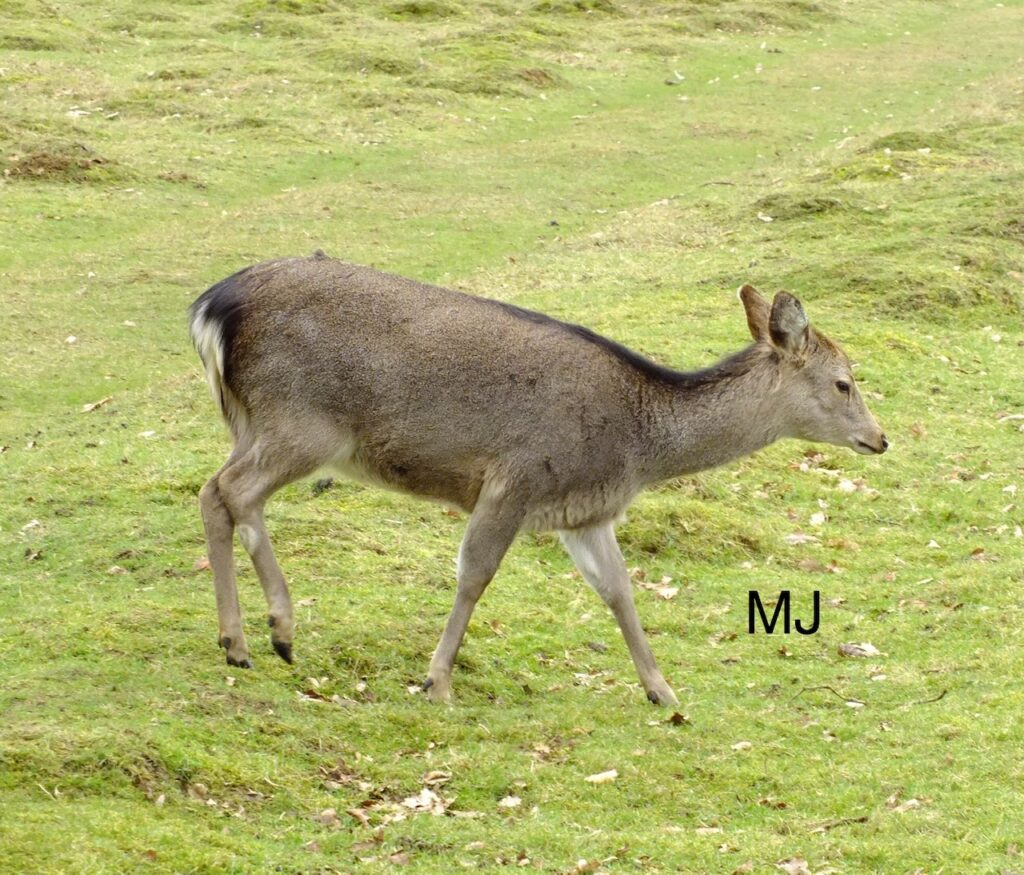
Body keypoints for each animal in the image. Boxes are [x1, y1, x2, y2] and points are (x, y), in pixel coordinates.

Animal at [189, 251, 887, 706]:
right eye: (843, 383)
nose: (880, 438)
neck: (639, 446)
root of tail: (210, 309)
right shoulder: (516, 478)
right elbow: (474, 575)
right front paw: (436, 682)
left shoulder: (584, 514)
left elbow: (619, 592)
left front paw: (663, 691)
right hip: (302, 422)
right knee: (233, 492)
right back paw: (275, 631)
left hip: (254, 423)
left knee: (212, 492)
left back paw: (235, 640)